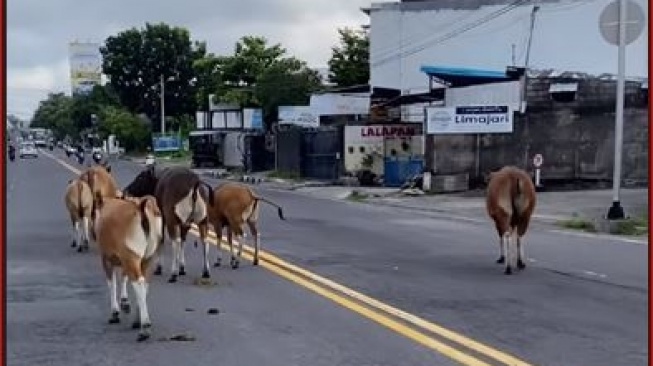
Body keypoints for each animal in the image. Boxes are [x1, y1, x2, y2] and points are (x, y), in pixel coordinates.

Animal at [94, 193, 166, 342]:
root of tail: (141, 210)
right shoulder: (126, 260)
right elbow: (124, 278)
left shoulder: (107, 260)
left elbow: (112, 284)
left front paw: (115, 313)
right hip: (148, 259)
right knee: (144, 284)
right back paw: (137, 321)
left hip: (131, 258)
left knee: (139, 282)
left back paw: (144, 328)